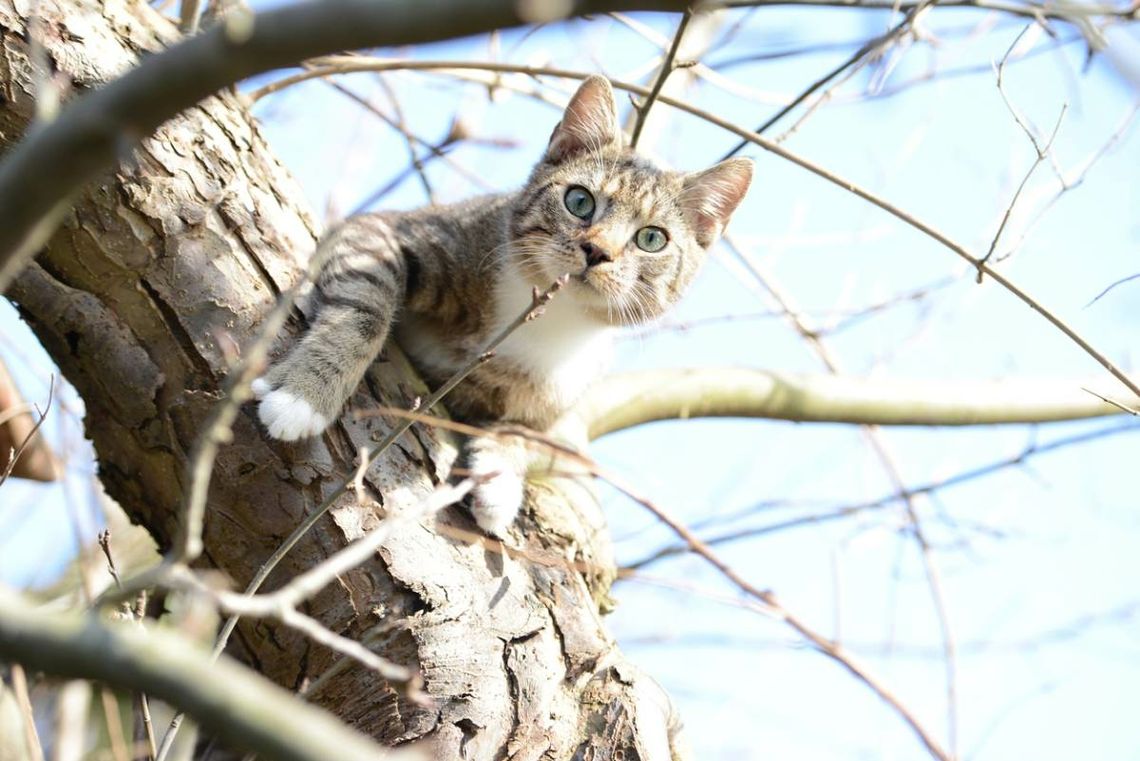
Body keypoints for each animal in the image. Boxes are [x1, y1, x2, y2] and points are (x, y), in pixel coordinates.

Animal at [256, 75, 756, 535]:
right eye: (579, 200)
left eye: (652, 239)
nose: (597, 251)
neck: (549, 317)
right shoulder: (385, 230)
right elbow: (363, 308)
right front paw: (304, 396)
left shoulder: (556, 402)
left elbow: (523, 432)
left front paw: (498, 481)